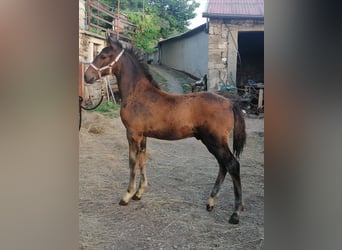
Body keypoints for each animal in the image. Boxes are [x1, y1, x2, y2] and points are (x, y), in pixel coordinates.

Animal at [84, 36, 247, 224]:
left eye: (103, 55)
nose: (86, 76)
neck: (137, 93)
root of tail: (230, 103)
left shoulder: (132, 134)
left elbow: (132, 161)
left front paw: (127, 196)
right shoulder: (143, 136)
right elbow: (142, 159)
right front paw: (139, 193)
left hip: (215, 141)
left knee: (233, 165)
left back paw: (235, 213)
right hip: (212, 142)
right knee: (223, 165)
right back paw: (211, 202)